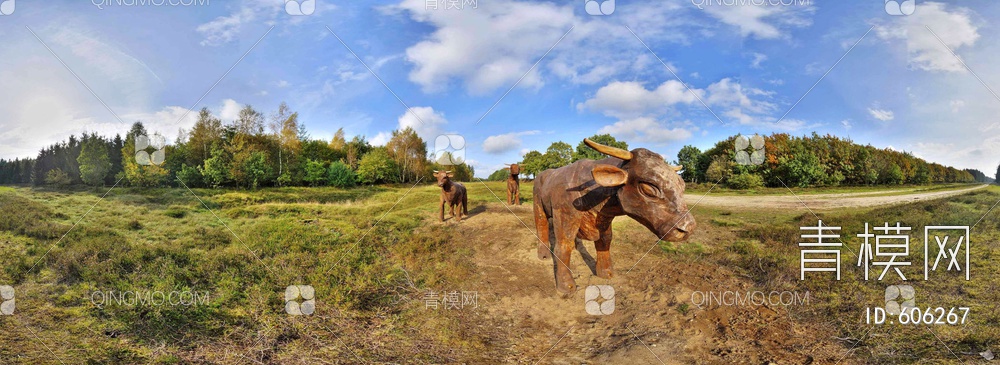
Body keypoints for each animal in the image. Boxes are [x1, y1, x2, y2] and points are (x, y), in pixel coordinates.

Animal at [532, 138, 696, 292]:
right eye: (648, 188)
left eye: (682, 186)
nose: (689, 228)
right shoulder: (565, 215)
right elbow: (563, 247)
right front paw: (566, 286)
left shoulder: (604, 219)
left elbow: (605, 242)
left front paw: (606, 272)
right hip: (538, 205)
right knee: (541, 226)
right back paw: (544, 255)